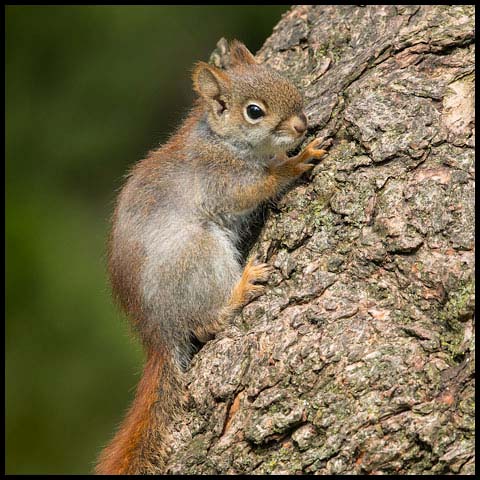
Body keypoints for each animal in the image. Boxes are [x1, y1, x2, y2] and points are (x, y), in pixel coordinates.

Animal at [94, 39, 326, 474]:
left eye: (285, 79)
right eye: (254, 112)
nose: (301, 126)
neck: (223, 141)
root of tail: (158, 331)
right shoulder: (221, 178)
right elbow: (257, 187)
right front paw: (293, 163)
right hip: (199, 254)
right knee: (205, 324)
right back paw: (239, 290)